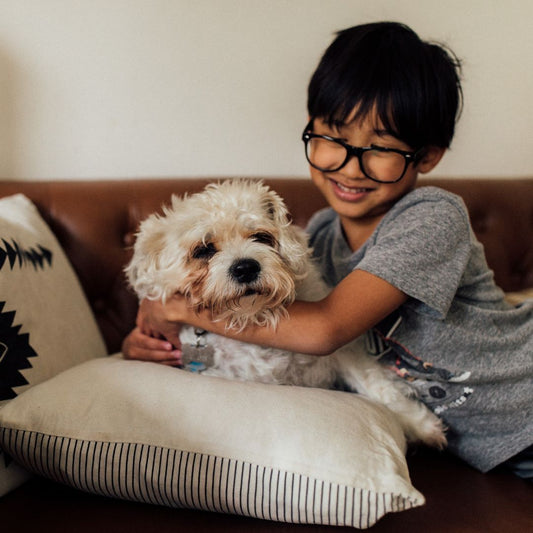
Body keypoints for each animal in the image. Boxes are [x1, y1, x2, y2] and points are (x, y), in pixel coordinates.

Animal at [124, 178, 444, 444]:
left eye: (261, 237)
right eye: (203, 249)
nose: (246, 267)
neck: (255, 317)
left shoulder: (342, 352)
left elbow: (377, 386)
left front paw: (423, 426)